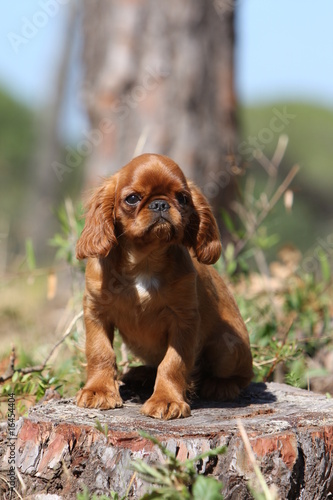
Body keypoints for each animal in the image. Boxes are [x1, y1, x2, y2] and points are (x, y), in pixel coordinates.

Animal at [75, 152, 252, 418]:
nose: (160, 204)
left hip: (227, 346)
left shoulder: (184, 320)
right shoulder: (96, 311)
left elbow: (173, 364)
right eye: (132, 198)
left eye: (182, 198)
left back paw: (220, 385)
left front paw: (166, 400)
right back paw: (140, 374)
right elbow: (100, 352)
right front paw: (98, 391)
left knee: (243, 376)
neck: (145, 261)